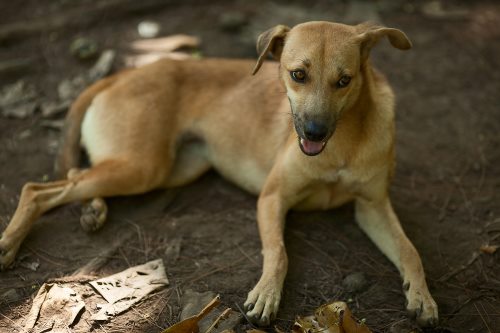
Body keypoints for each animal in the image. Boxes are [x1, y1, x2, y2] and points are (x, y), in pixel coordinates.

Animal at [0, 21, 438, 326]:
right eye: (298, 74)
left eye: (344, 81)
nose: (313, 132)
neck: (343, 142)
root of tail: (123, 73)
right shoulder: (272, 198)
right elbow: (278, 253)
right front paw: (266, 295)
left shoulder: (372, 207)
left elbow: (410, 251)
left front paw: (422, 297)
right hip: (142, 167)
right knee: (37, 188)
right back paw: (9, 244)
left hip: (166, 169)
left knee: (74, 173)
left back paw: (92, 209)